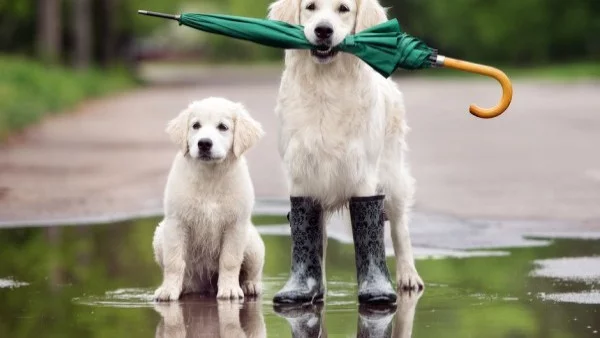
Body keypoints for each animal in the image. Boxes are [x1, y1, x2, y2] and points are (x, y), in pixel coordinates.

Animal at [270, 0, 424, 304]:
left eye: (343, 9)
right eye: (310, 7)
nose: (323, 30)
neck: (326, 85)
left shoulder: (362, 173)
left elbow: (371, 230)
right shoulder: (302, 173)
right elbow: (309, 234)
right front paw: (305, 287)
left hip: (393, 175)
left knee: (399, 227)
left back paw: (408, 277)